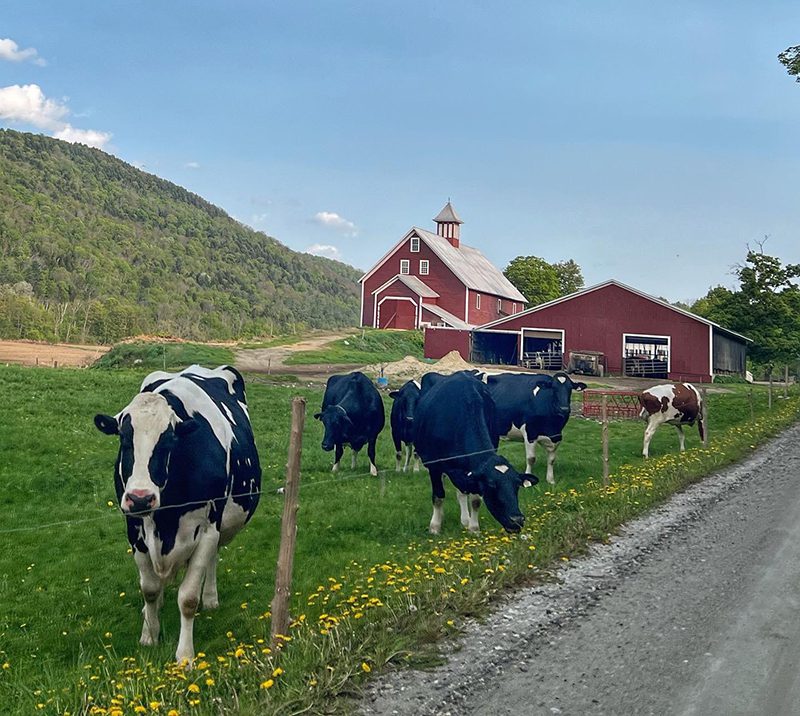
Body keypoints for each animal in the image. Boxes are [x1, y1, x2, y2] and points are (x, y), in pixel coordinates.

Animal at [94, 366, 260, 664]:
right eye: (124, 438)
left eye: (169, 441)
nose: (140, 497)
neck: (165, 518)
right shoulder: (134, 530)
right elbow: (148, 588)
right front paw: (149, 634)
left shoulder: (207, 529)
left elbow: (188, 598)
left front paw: (185, 656)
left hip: (218, 525)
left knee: (212, 559)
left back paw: (211, 598)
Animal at [412, 374, 536, 532]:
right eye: (492, 485)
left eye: (517, 485)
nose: (517, 520)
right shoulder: (434, 466)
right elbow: (438, 496)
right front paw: (435, 527)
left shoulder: (474, 471)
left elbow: (475, 499)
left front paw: (473, 527)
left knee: (462, 493)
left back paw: (465, 520)